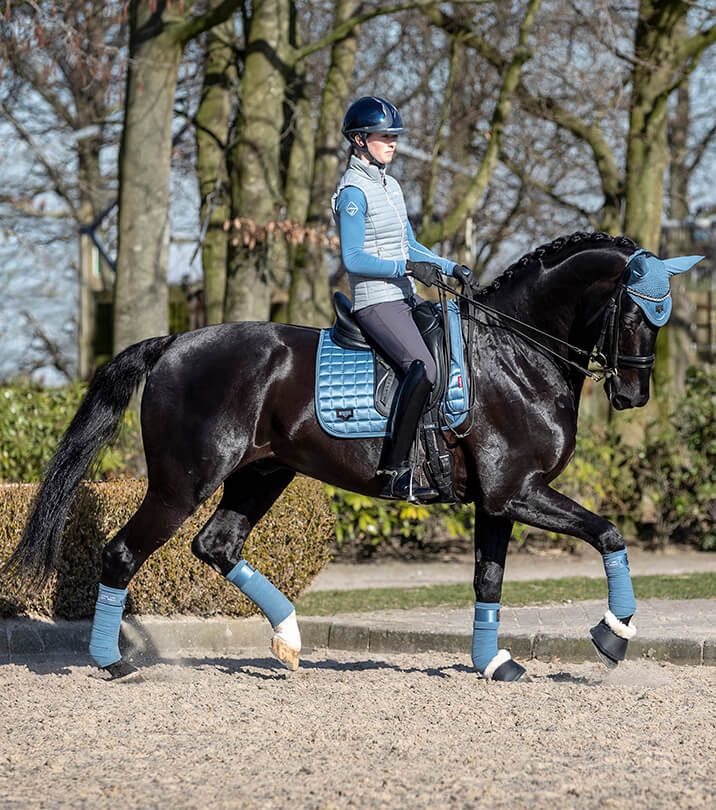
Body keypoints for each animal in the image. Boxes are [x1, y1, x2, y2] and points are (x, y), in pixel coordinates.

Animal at [5, 230, 672, 680]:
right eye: (634, 314)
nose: (633, 395)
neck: (516, 353)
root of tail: (173, 343)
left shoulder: (499, 502)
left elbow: (489, 579)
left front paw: (493, 663)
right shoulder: (519, 492)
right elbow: (609, 533)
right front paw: (614, 635)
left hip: (260, 473)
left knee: (216, 545)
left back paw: (290, 640)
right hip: (182, 484)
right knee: (123, 552)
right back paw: (113, 663)